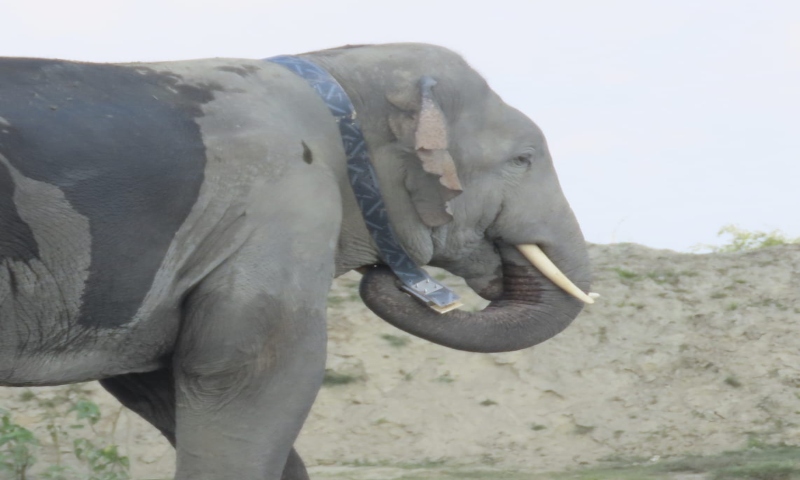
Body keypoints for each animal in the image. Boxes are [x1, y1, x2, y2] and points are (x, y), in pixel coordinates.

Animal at [0, 43, 594, 479]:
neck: (335, 75)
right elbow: (254, 370)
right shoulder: (281, 208)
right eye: (523, 160)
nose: (389, 277)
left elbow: (158, 384)